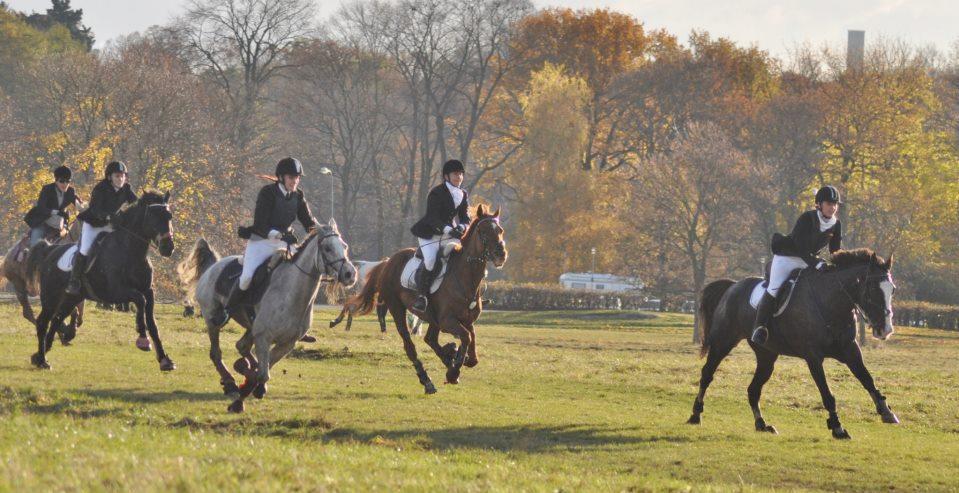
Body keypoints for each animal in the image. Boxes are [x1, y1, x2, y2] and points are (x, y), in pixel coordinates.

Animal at [27, 190, 178, 370]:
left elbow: (153, 324)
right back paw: (42, 360)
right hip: (51, 297)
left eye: (169, 216)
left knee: (57, 319)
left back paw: (42, 353)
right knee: (43, 321)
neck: (131, 252)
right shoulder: (115, 292)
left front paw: (164, 360)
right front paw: (142, 338)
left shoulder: (149, 292)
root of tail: (50, 251)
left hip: (72, 297)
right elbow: (140, 301)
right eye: (153, 216)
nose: (168, 247)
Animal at [180, 220, 356, 412]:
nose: (350, 274)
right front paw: (240, 400)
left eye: (344, 246)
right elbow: (262, 373)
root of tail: (214, 265)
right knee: (216, 353)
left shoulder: (286, 343)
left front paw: (251, 380)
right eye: (327, 248)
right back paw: (230, 383)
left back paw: (242, 371)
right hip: (213, 320)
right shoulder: (263, 337)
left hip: (250, 327)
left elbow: (264, 368)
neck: (291, 294)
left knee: (241, 346)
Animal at [346, 206, 510, 394]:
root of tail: (387, 262)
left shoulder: (466, 321)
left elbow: (472, 348)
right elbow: (466, 337)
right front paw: (453, 371)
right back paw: (427, 380)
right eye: (482, 231)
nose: (501, 254)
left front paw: (455, 359)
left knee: (430, 339)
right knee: (410, 346)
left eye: (500, 230)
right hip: (397, 308)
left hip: (432, 318)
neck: (465, 278)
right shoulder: (448, 320)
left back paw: (447, 358)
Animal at [688, 250, 900, 438]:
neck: (831, 303)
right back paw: (695, 414)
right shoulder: (813, 357)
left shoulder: (851, 351)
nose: (885, 330)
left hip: (766, 355)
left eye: (893, 290)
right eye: (873, 289)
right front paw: (837, 427)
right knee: (707, 374)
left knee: (753, 389)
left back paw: (762, 424)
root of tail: (733, 286)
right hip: (723, 342)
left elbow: (867, 379)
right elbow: (827, 394)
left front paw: (886, 411)